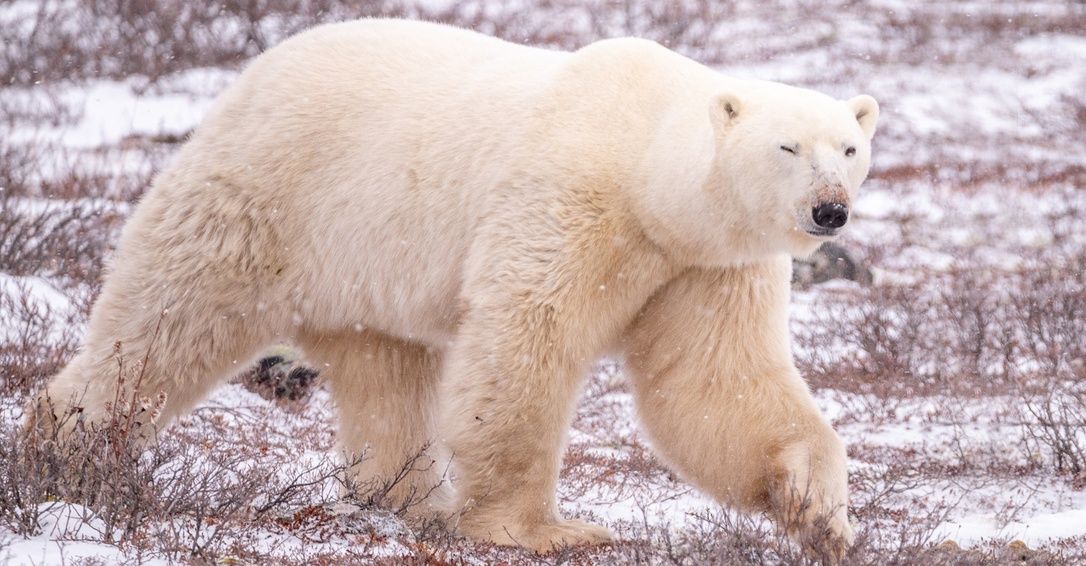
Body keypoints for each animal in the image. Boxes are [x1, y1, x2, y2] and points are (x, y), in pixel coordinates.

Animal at [33, 17, 877, 556]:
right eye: (787, 146)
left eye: (849, 145)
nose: (829, 209)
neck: (644, 167)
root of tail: (253, 75)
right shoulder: (569, 204)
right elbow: (525, 342)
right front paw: (540, 529)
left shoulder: (702, 265)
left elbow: (715, 383)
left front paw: (818, 511)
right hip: (268, 195)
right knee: (165, 323)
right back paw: (61, 446)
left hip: (368, 269)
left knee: (388, 375)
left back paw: (407, 497)